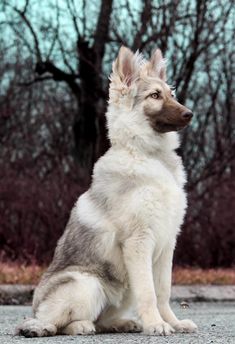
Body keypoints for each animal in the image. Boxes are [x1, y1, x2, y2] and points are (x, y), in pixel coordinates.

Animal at [15, 45, 197, 336]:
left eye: (171, 94)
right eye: (155, 96)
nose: (189, 114)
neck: (149, 155)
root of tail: (36, 310)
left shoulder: (168, 242)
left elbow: (163, 291)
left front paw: (173, 322)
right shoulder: (139, 241)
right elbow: (149, 293)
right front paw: (157, 324)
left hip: (122, 291)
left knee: (101, 320)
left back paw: (124, 322)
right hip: (85, 284)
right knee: (57, 322)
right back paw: (70, 326)